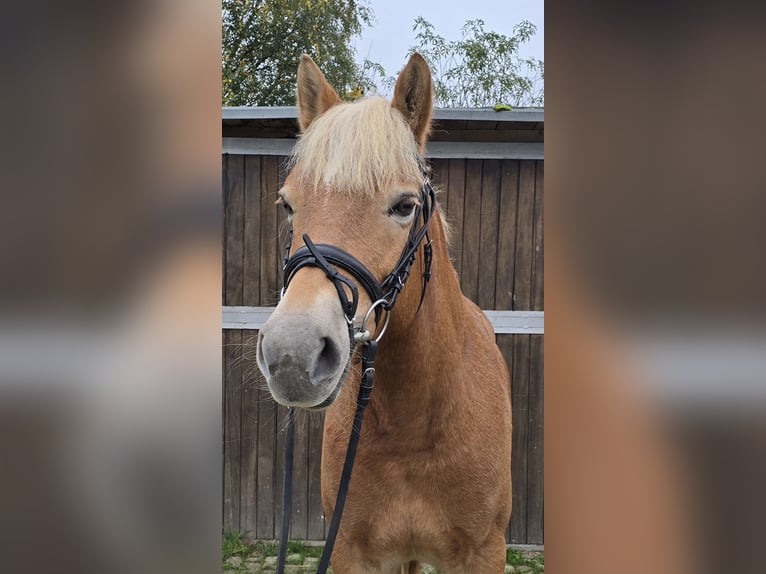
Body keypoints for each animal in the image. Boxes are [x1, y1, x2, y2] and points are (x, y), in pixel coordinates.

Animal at [258, 51, 516, 572]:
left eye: (404, 206)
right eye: (287, 204)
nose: (291, 355)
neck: (414, 426)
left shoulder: (483, 553)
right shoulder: (352, 552)